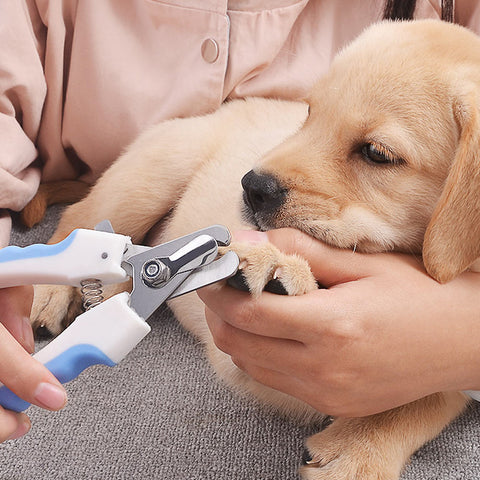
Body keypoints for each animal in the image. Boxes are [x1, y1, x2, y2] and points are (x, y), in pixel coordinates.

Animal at [25, 19, 480, 480]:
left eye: (376, 153)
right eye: (309, 114)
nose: (252, 186)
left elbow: (426, 400)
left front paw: (357, 452)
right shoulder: (238, 358)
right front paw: (277, 266)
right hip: (150, 177)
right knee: (80, 220)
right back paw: (50, 293)